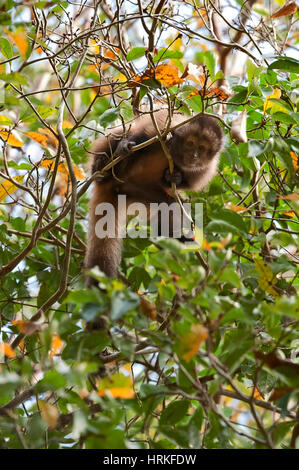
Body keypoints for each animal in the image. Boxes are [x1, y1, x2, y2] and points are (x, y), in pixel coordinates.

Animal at [84, 109, 223, 286]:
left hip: (140, 192)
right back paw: (102, 166)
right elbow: (140, 135)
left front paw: (175, 178)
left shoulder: (206, 168)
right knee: (118, 135)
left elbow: (188, 184)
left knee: (171, 206)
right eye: (191, 143)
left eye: (202, 148)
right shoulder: (164, 128)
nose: (195, 155)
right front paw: (124, 145)